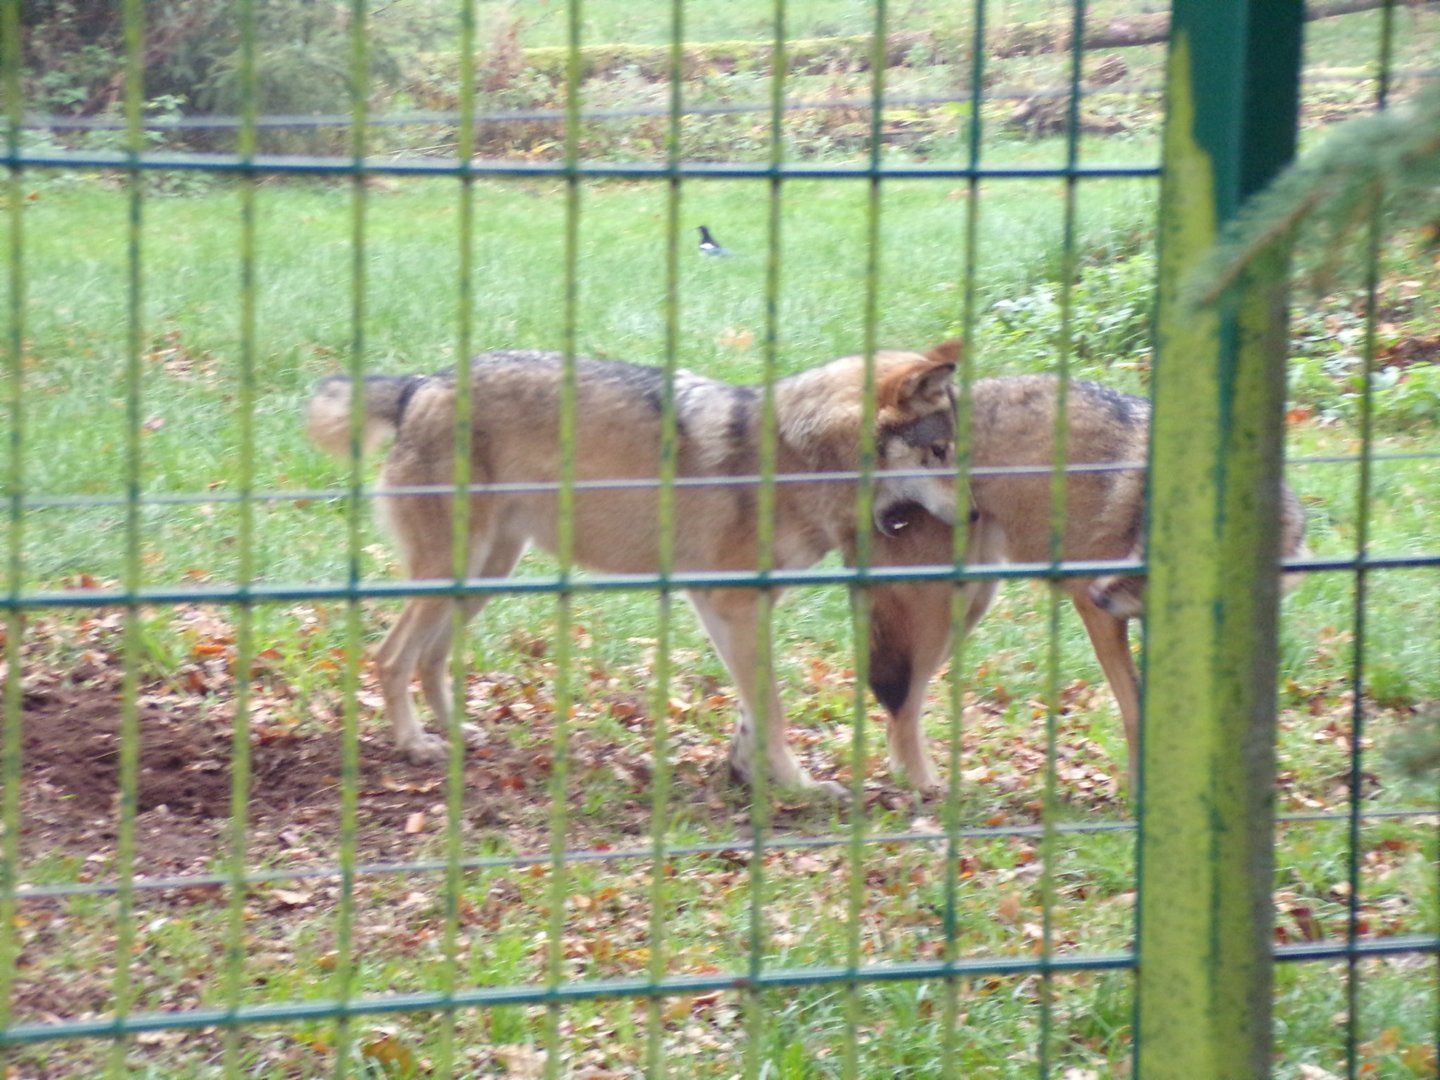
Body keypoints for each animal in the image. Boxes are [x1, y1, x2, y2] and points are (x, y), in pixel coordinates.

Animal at [305, 343, 964, 798]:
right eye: (940, 452)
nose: (976, 513)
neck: (802, 457)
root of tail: (421, 384)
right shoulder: (734, 605)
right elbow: (772, 709)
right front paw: (797, 785)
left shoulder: (734, 609)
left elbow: (754, 709)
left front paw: (750, 773)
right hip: (454, 573)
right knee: (391, 657)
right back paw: (416, 745)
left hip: (486, 575)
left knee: (431, 657)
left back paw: (455, 732)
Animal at [864, 374, 1307, 794]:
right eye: (1141, 545)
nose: (1095, 591)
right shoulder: (1102, 618)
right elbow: (1135, 710)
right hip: (939, 616)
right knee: (902, 703)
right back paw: (925, 786)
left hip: (969, 609)